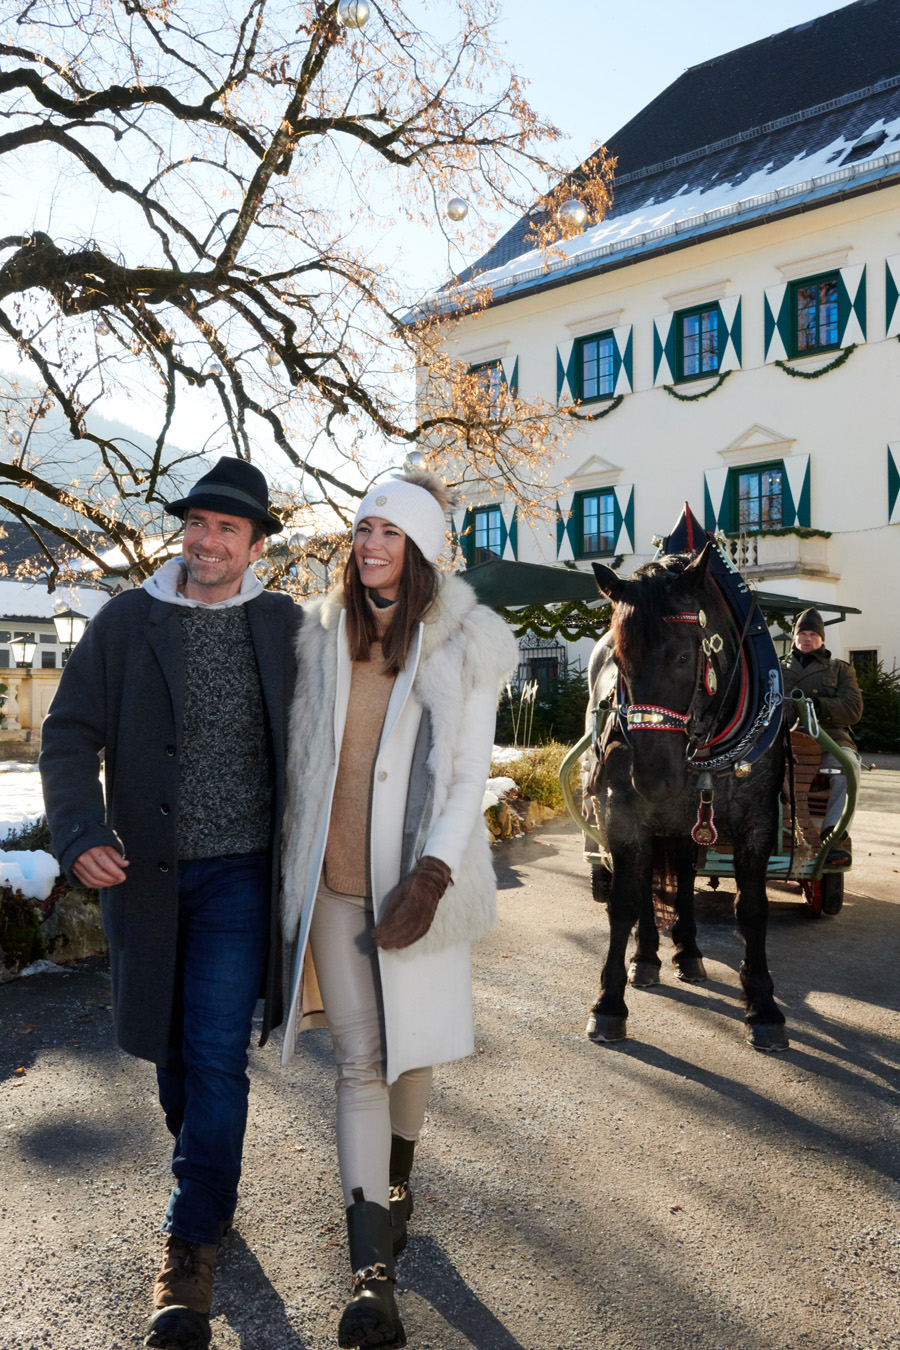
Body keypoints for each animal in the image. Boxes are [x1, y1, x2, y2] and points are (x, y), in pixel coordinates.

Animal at [584, 539, 789, 1051]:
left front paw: (763, 1004)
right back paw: (647, 958)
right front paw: (609, 1003)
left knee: (683, 876)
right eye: (618, 660)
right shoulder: (622, 814)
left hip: (686, 825)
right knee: (651, 884)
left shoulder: (758, 821)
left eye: (681, 657)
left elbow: (752, 909)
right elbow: (624, 901)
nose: (654, 779)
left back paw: (689, 951)